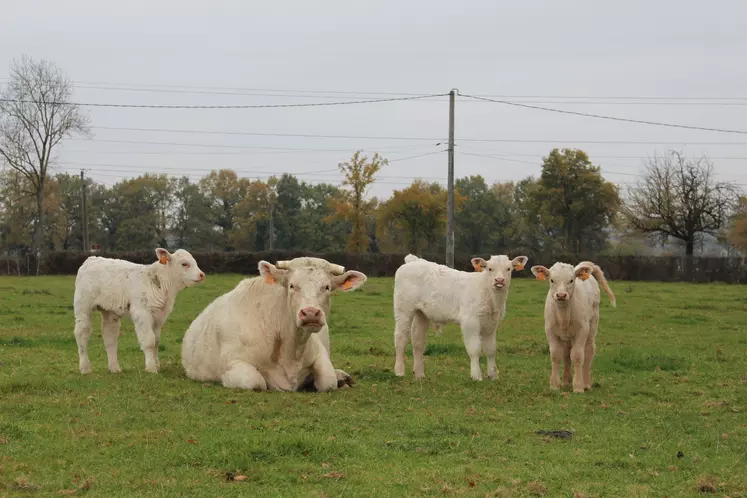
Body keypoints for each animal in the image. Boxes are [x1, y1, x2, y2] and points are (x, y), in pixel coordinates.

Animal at [74, 248, 206, 374]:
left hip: (110, 311)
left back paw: (115, 368)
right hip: (83, 306)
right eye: (184, 264)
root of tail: (91, 259)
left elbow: (156, 341)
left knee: (110, 336)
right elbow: (149, 341)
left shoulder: (159, 317)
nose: (201, 274)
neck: (159, 283)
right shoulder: (142, 313)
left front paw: (157, 364)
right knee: (82, 332)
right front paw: (151, 367)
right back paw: (85, 368)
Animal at [181, 256, 368, 392]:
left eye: (327, 287)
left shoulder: (319, 353)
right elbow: (256, 382)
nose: (310, 313)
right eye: (292, 286)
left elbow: (328, 382)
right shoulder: (232, 363)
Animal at [394, 255, 528, 380]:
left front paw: (493, 375)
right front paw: (476, 376)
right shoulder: (470, 322)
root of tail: (414, 261)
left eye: (508, 268)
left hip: (421, 313)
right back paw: (399, 371)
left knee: (418, 341)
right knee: (401, 338)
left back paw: (419, 375)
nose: (499, 280)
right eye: (490, 268)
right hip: (403, 309)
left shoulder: (491, 325)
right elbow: (474, 349)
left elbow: (491, 350)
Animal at [536, 260, 616, 392]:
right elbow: (556, 355)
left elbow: (577, 355)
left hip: (592, 325)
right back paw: (565, 380)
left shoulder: (582, 330)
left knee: (588, 351)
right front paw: (554, 385)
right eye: (552, 280)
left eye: (571, 280)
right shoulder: (550, 331)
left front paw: (578, 386)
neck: (563, 315)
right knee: (566, 352)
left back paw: (586, 383)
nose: (561, 295)